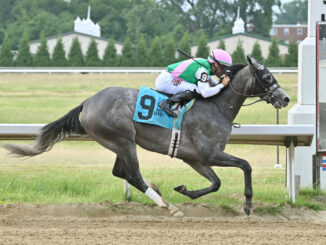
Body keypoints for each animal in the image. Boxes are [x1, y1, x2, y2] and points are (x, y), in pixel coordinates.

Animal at [3, 56, 290, 216]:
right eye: (267, 77)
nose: (286, 98)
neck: (217, 107)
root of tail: (88, 102)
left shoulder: (195, 158)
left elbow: (216, 183)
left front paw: (184, 189)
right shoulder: (210, 153)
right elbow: (246, 165)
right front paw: (248, 205)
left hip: (119, 143)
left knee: (121, 172)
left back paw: (162, 195)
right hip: (123, 140)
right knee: (133, 175)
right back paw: (168, 206)